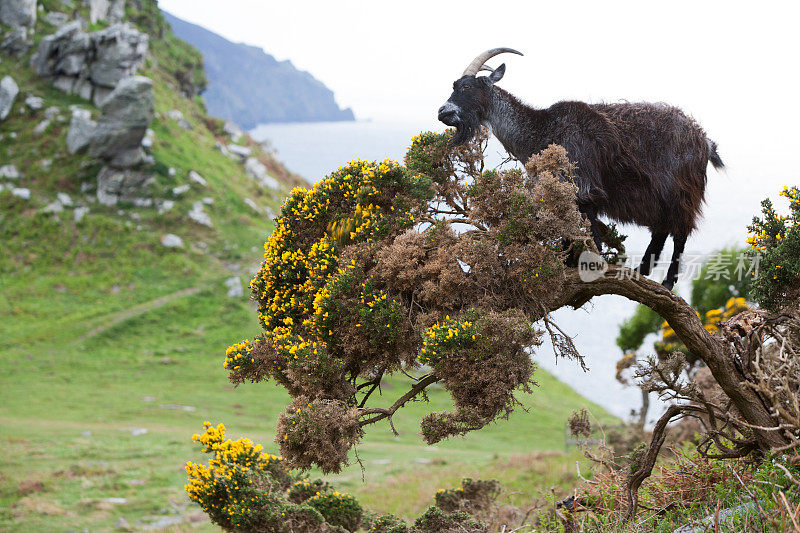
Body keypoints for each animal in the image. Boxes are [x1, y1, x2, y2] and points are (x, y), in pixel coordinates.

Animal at [438, 47, 724, 288]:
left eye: (467, 86)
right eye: (454, 86)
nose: (442, 112)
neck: (543, 130)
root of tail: (704, 140)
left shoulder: (584, 184)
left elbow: (589, 228)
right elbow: (570, 227)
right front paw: (566, 263)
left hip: (681, 191)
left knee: (680, 232)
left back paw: (667, 282)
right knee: (662, 229)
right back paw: (642, 270)